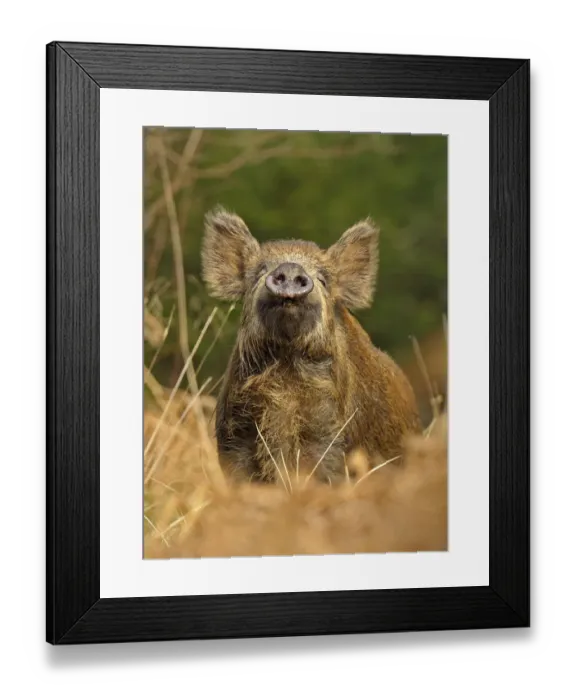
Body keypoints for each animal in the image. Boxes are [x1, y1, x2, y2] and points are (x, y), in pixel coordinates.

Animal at [201, 206, 422, 484]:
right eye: (259, 273)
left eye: (323, 280)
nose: (291, 268)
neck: (286, 371)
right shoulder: (236, 434)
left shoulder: (331, 434)